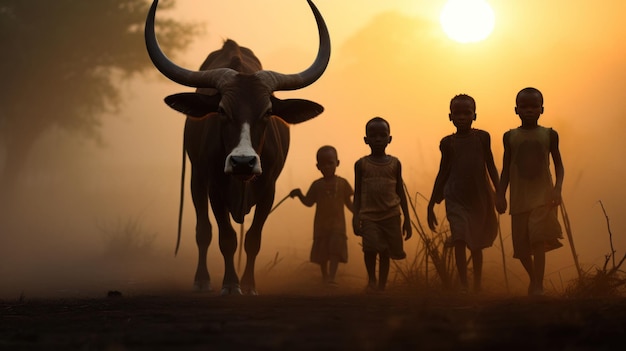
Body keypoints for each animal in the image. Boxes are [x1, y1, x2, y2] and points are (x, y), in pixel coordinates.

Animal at [144, 0, 330, 296]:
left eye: (267, 112)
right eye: (222, 110)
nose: (243, 162)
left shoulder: (269, 189)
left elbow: (253, 239)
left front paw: (249, 284)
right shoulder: (214, 188)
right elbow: (226, 237)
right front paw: (231, 284)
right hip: (196, 179)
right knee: (203, 231)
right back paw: (202, 280)